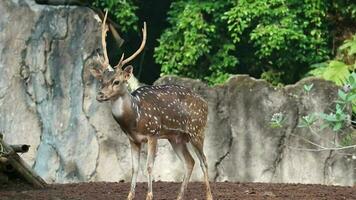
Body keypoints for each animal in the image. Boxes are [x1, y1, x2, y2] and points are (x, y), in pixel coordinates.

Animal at [90, 11, 213, 200]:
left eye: (117, 81)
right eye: (101, 80)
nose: (100, 95)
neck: (135, 117)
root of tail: (206, 104)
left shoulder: (153, 133)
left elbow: (148, 166)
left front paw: (149, 195)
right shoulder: (133, 139)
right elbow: (134, 168)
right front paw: (130, 196)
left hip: (197, 130)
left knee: (204, 160)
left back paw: (209, 196)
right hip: (176, 137)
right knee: (189, 161)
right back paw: (179, 196)